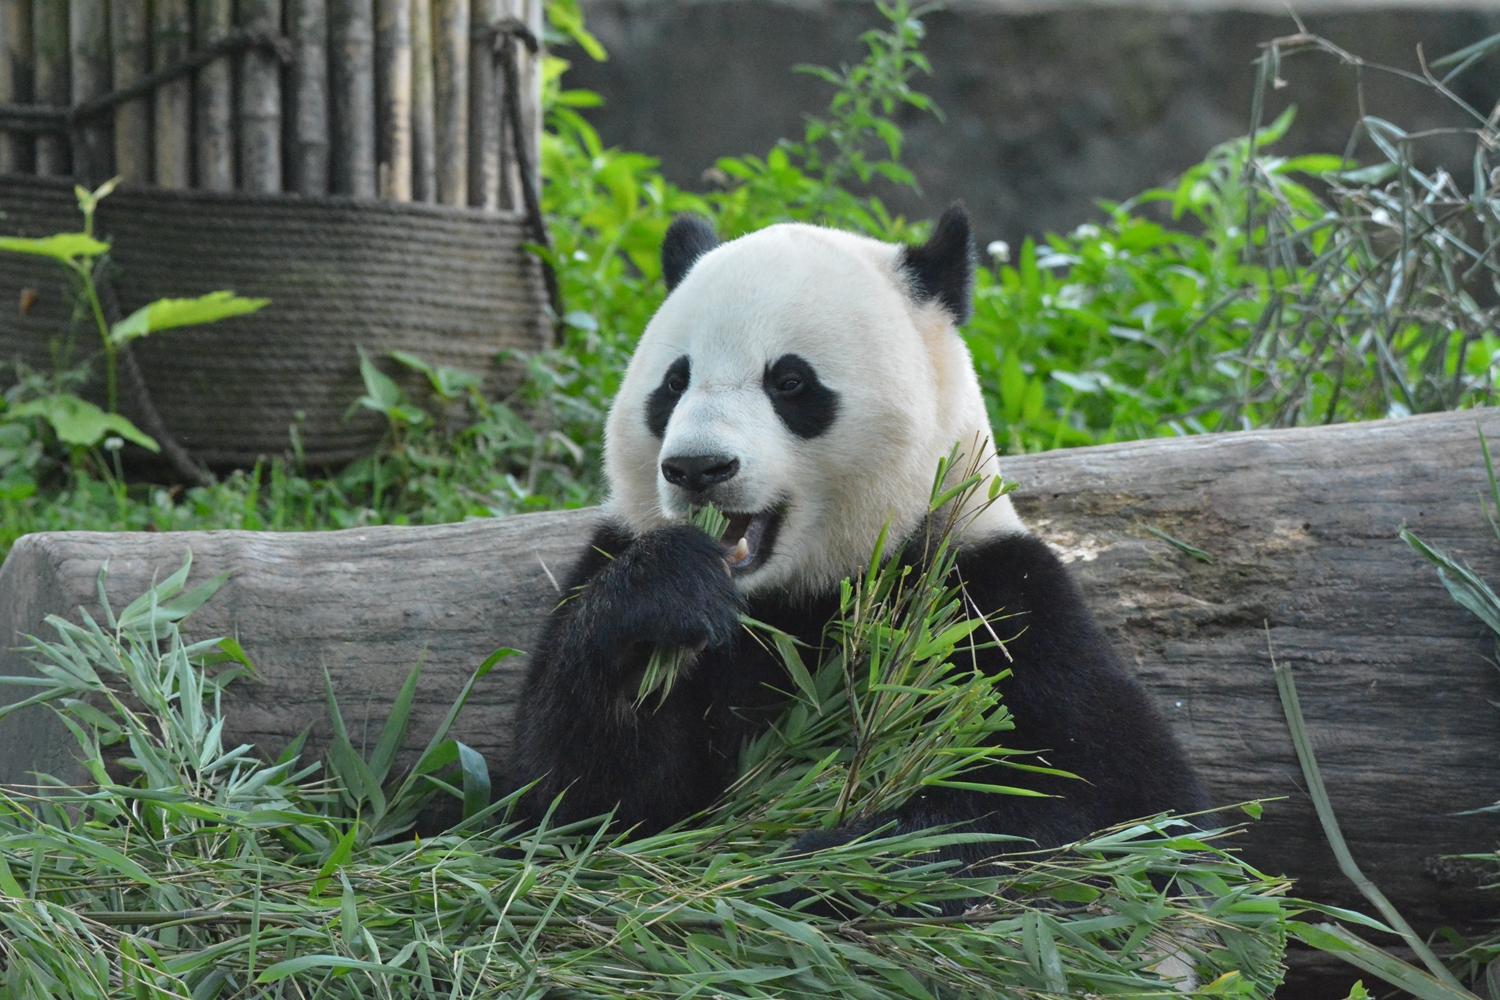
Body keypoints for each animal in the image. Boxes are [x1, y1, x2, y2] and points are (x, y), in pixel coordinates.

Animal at [516, 205, 1206, 863]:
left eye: (789, 381)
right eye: (674, 382)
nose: (697, 468)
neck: (794, 593)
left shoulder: (990, 595)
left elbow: (1112, 800)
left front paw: (822, 859)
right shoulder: (613, 561)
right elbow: (575, 804)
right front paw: (666, 597)